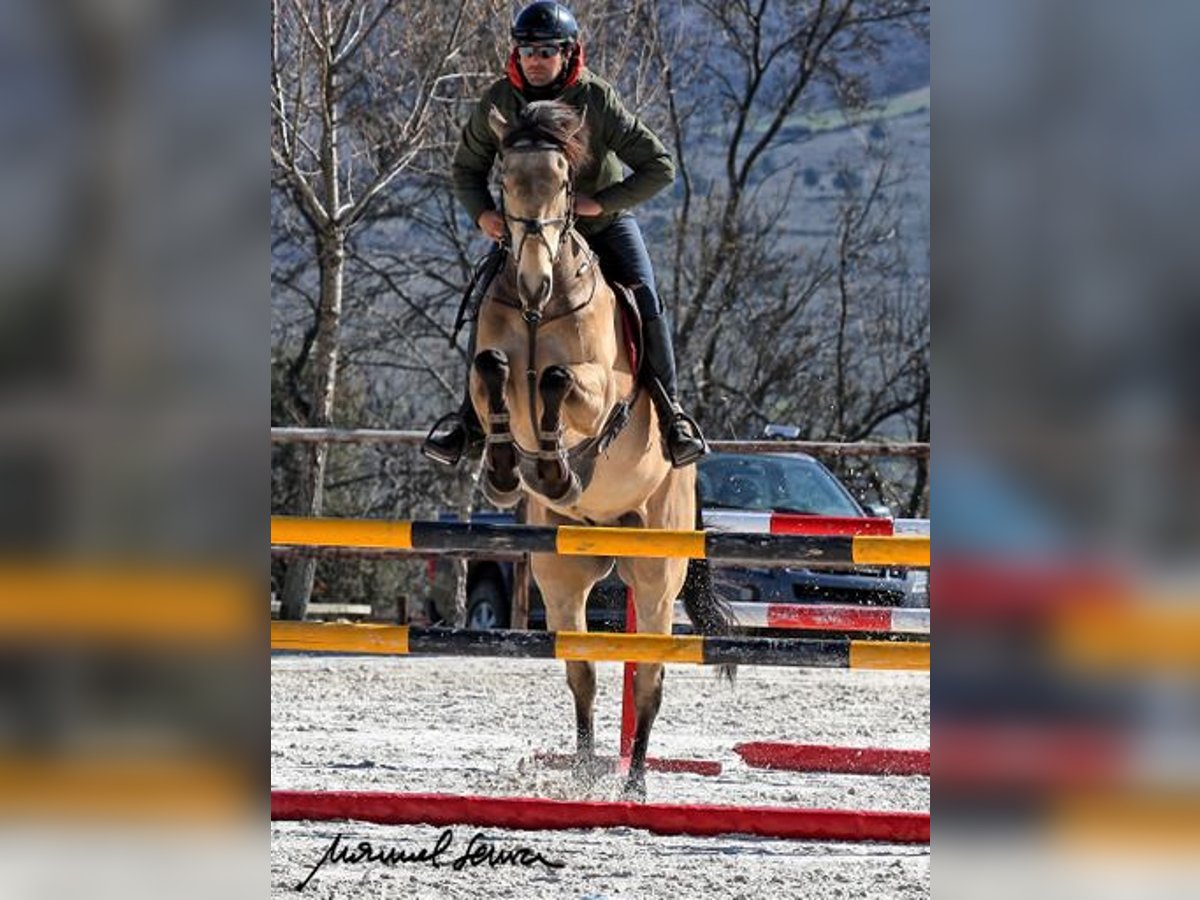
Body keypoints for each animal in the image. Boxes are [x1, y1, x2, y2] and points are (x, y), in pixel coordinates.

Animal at [465, 102, 729, 801]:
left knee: (651, 676)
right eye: (506, 179)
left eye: (564, 182)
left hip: (657, 572)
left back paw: (633, 785)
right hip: (561, 571)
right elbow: (492, 370)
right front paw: (506, 468)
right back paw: (585, 775)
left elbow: (559, 382)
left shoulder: (601, 389)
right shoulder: (489, 370)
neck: (539, 310)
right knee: (581, 670)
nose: (533, 282)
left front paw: (555, 465)